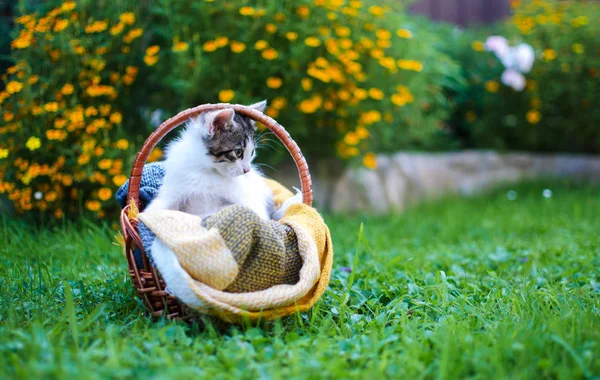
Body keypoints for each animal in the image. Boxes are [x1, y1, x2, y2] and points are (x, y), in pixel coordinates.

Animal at [144, 101, 276, 220]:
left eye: (252, 152)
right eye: (238, 152)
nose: (247, 170)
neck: (206, 170)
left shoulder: (248, 198)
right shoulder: (172, 191)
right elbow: (158, 207)